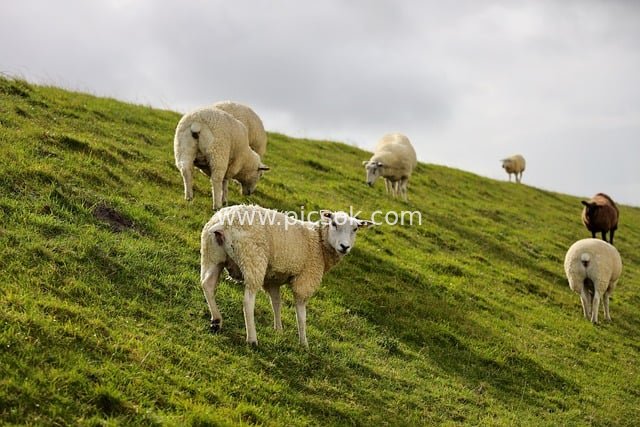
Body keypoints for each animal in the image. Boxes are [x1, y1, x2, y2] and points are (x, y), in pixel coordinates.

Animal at [200, 204, 373, 346]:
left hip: (212, 255)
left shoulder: (273, 280)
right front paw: (304, 343)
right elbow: (301, 315)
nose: (345, 247)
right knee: (248, 301)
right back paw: (252, 339)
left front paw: (278, 329)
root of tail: (223, 222)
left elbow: (276, 303)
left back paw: (216, 321)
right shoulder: (305, 280)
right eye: (334, 224)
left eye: (355, 229)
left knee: (207, 284)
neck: (318, 242)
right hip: (253, 258)